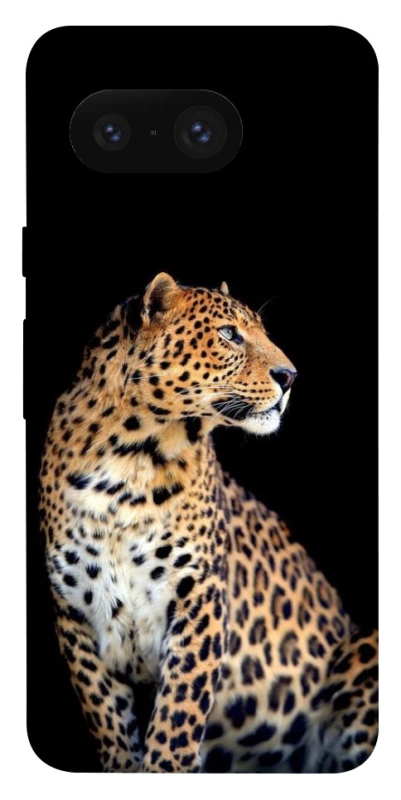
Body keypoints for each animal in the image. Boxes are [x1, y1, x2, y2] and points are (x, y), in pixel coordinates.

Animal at [39, 272, 378, 773]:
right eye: (229, 334)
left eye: (260, 331)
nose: (290, 376)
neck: (129, 460)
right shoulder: (75, 613)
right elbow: (110, 723)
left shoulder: (199, 597)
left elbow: (176, 719)